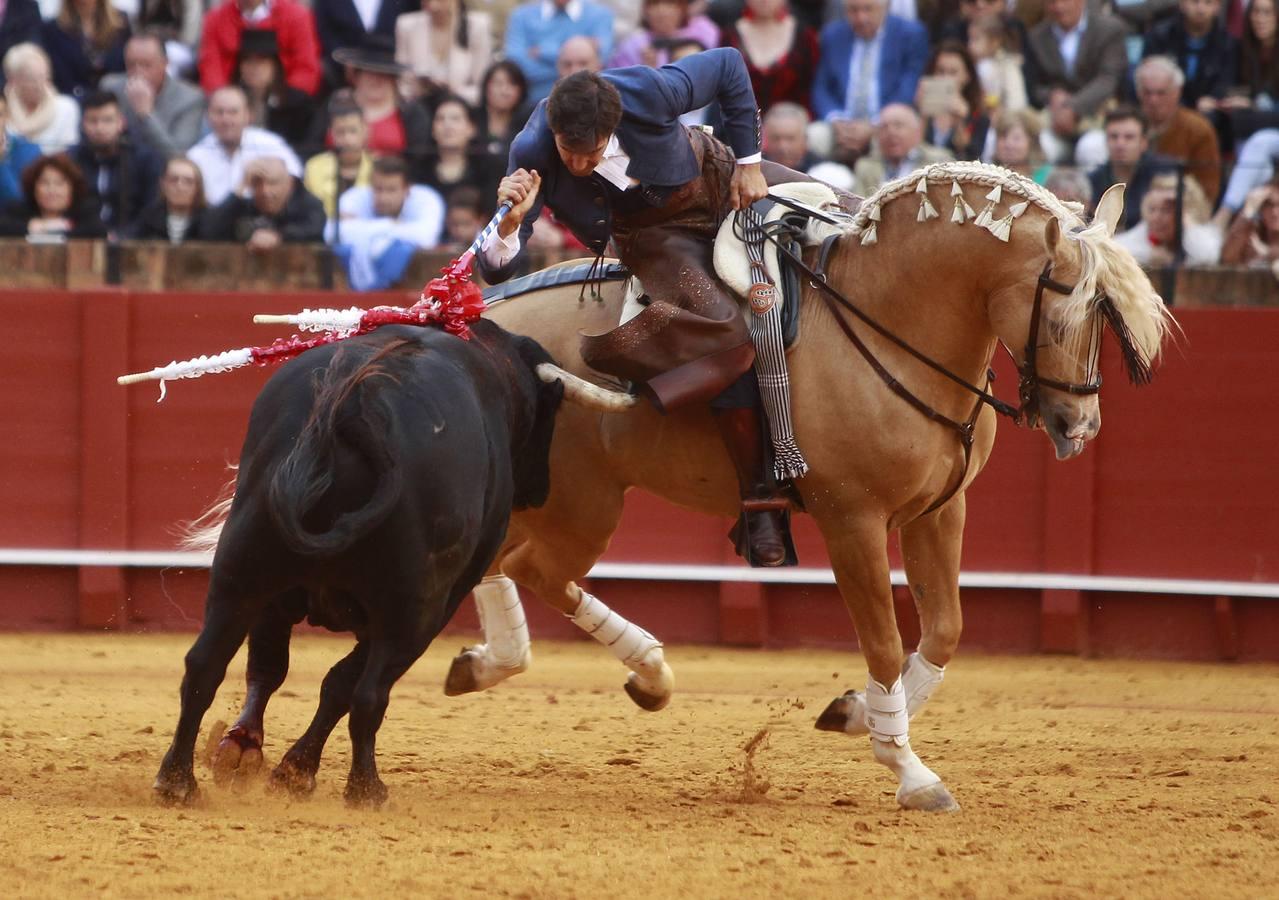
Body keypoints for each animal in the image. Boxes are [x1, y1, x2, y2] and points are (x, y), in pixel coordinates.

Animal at [152, 319, 562, 802]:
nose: (542, 489)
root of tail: (356, 407)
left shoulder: (272, 595)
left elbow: (274, 670)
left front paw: (250, 753)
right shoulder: (430, 607)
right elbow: (341, 687)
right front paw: (296, 771)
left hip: (242, 570)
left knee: (206, 665)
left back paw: (179, 779)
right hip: (411, 612)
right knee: (368, 694)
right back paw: (366, 788)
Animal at [447, 158, 1171, 813]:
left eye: (1107, 315)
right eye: (1063, 316)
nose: (1079, 427)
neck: (892, 318)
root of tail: (476, 321)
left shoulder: (939, 510)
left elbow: (944, 628)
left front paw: (855, 712)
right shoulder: (851, 521)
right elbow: (883, 641)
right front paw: (910, 772)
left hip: (561, 503)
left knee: (508, 561)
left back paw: (550, 666)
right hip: (581, 504)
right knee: (530, 566)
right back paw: (603, 668)